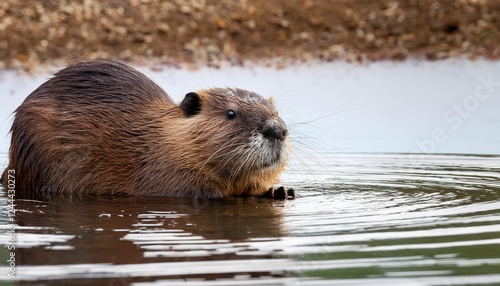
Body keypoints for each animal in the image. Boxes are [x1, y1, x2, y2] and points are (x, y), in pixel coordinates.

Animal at [1, 59, 294, 199]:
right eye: (231, 113)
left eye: (277, 112)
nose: (276, 129)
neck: (164, 140)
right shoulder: (164, 171)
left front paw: (279, 191)